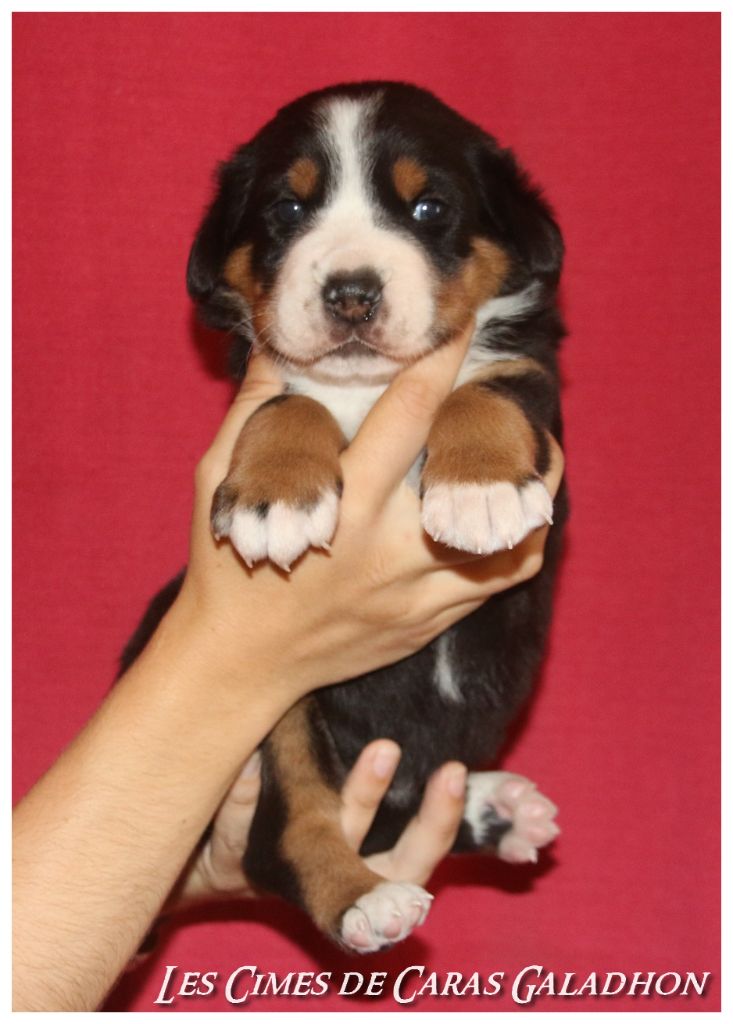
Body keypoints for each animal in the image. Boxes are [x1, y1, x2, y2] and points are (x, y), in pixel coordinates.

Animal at [121, 81, 568, 954]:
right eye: (288, 209)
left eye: (429, 208)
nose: (352, 292)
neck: (371, 391)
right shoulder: (264, 385)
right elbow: (291, 406)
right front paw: (274, 499)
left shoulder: (526, 370)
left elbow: (487, 389)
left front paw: (480, 490)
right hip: (281, 714)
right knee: (283, 839)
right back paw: (365, 896)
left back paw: (497, 810)